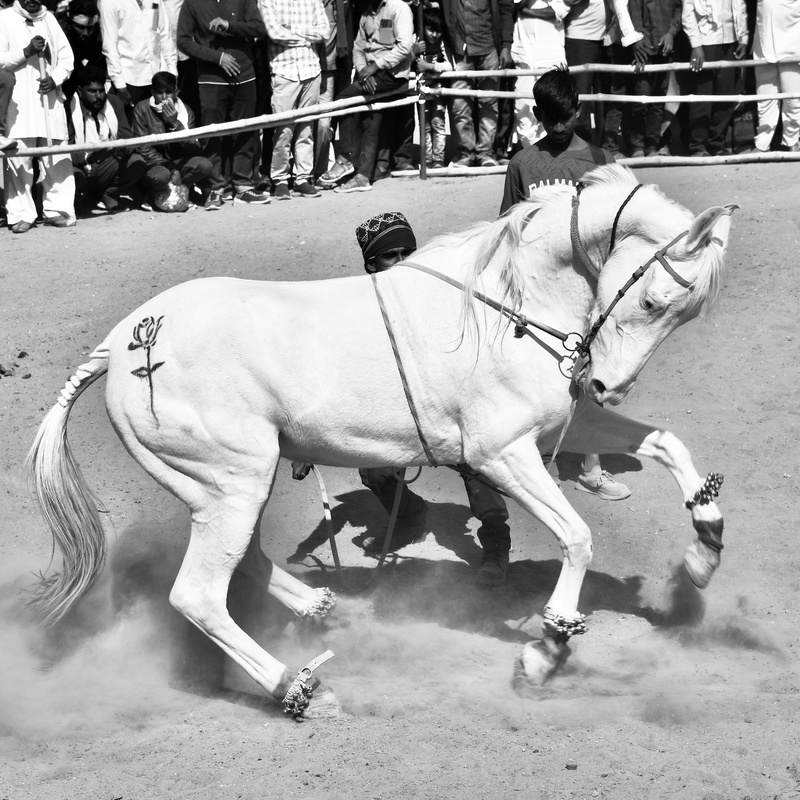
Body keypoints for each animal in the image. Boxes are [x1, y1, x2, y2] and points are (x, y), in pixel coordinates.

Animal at [27, 165, 736, 719]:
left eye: (684, 314)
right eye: (652, 300)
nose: (608, 385)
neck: (505, 306)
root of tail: (122, 346)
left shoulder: (559, 426)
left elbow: (668, 445)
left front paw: (704, 548)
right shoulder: (501, 454)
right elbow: (578, 537)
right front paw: (547, 649)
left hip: (228, 488)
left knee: (244, 560)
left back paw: (322, 608)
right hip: (232, 483)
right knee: (199, 594)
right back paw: (300, 689)